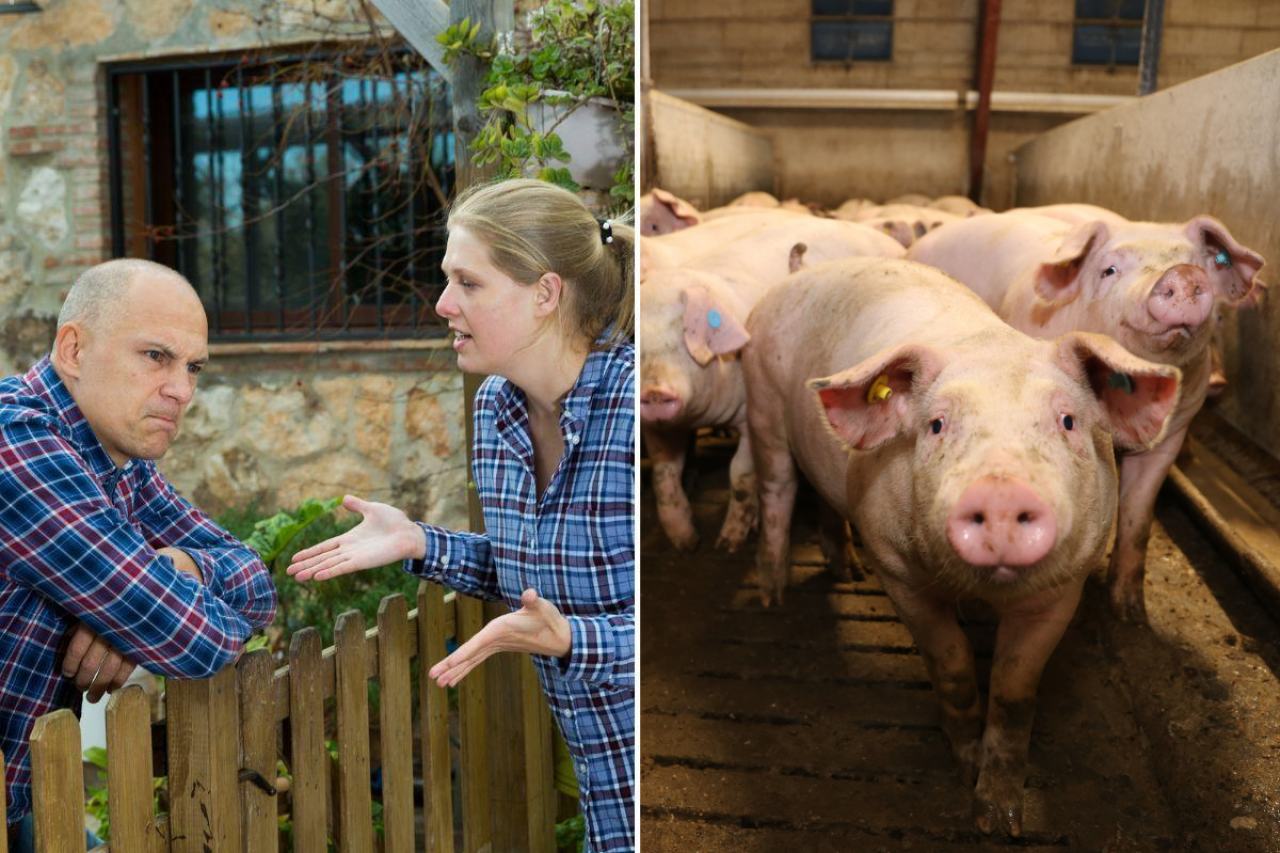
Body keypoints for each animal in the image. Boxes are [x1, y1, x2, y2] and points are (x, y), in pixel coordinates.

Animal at [637, 213, 901, 545]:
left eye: (681, 342)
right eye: (639, 350)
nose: (655, 391)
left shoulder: (749, 411)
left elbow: (740, 472)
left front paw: (728, 544)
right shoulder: (658, 426)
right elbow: (664, 473)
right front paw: (687, 542)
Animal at [742, 256, 1177, 835]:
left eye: (1067, 421)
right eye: (936, 425)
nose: (1000, 490)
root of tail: (803, 269)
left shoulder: (1065, 588)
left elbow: (1015, 691)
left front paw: (1000, 820)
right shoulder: (897, 571)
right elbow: (950, 662)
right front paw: (966, 764)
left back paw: (845, 573)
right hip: (762, 404)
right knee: (778, 491)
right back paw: (772, 597)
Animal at [916, 211, 1264, 617]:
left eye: (1199, 265)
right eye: (1109, 270)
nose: (1180, 275)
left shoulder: (1171, 436)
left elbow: (1138, 515)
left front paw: (1130, 611)